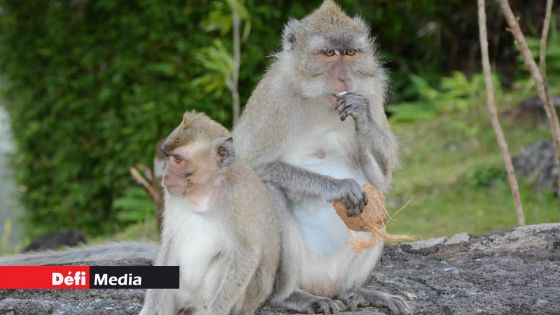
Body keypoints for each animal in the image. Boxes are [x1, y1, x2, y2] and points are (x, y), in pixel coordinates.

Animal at [140, 111, 280, 315]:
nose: (165, 174)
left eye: (178, 160)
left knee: (228, 256)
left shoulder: (238, 198)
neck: (205, 191)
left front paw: (216, 310)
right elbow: (169, 243)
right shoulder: (170, 195)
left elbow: (247, 252)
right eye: (167, 157)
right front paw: (149, 309)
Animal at [232, 0, 412, 315]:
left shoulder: (372, 90)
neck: (319, 101)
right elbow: (247, 166)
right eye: (329, 53)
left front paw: (362, 116)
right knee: (271, 191)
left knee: (377, 203)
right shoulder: (273, 96)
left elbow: (380, 182)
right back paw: (290, 296)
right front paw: (339, 187)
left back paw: (357, 292)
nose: (345, 77)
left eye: (350, 53)